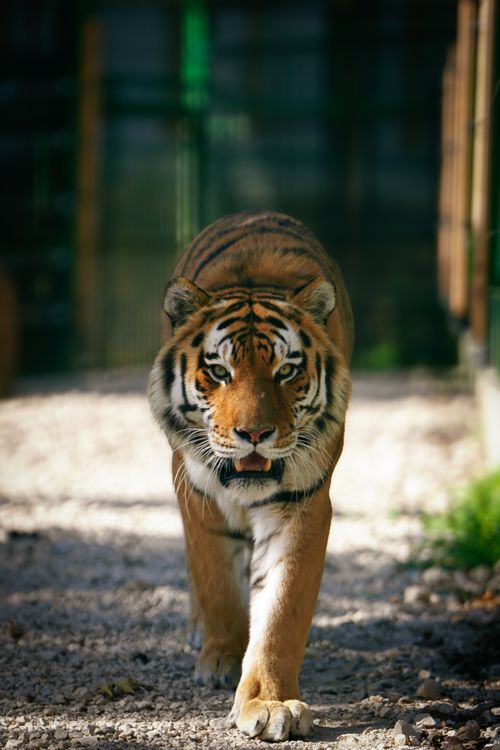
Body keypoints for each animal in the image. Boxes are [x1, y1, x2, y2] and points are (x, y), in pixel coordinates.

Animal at [148, 211, 353, 742]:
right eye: (219, 371)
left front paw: (270, 702)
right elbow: (216, 580)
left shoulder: (302, 506)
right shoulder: (196, 493)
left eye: (286, 371)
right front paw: (220, 657)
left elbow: (281, 611)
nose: (255, 433)